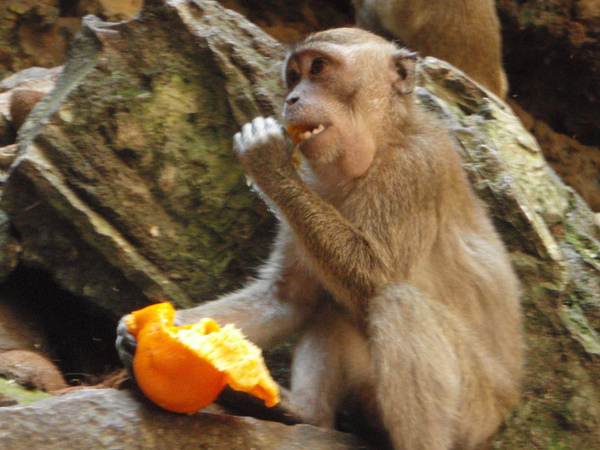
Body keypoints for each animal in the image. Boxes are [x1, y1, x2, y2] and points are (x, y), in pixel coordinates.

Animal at [116, 29, 520, 450]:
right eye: (294, 76)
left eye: (319, 68)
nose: (291, 99)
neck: (376, 148)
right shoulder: (315, 185)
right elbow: (289, 299)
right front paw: (141, 329)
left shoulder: (415, 169)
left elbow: (376, 274)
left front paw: (270, 162)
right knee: (332, 307)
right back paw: (303, 413)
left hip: (473, 412)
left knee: (396, 301)